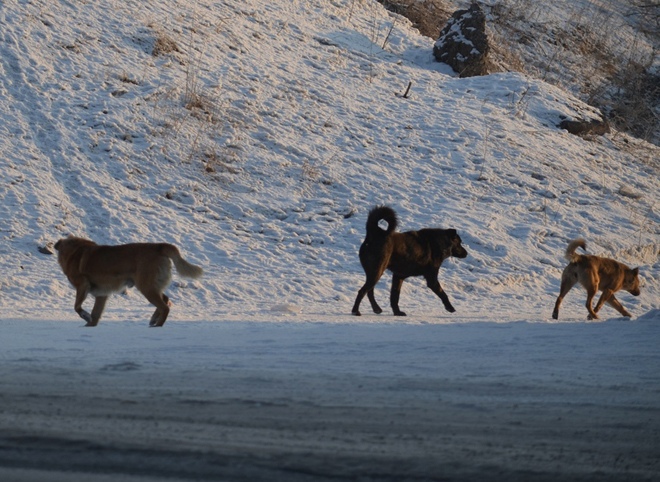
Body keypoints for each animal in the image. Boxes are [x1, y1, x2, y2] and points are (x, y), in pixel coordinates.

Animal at [54, 235, 201, 326]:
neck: (74, 252)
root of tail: (159, 246)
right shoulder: (101, 295)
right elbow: (95, 315)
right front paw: (89, 325)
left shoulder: (82, 285)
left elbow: (77, 307)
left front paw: (85, 316)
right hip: (150, 286)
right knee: (165, 299)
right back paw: (153, 320)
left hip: (146, 287)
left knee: (165, 307)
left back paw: (157, 325)